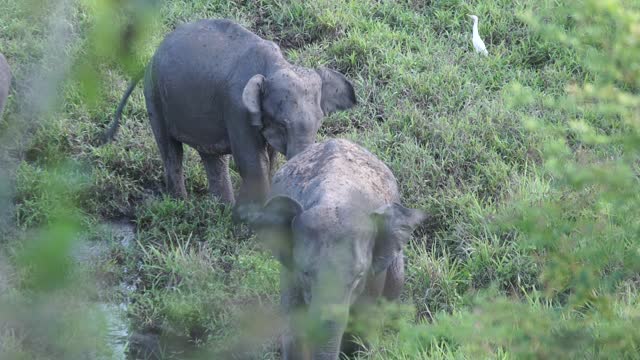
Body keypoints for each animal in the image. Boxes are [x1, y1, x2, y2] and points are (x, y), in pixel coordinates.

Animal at [102, 20, 358, 222]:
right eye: (282, 124)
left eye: (319, 123)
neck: (275, 64)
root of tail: (150, 57)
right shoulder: (237, 108)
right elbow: (253, 162)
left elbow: (270, 159)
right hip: (154, 94)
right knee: (171, 150)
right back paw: (181, 205)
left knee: (211, 157)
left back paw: (221, 209)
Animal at [250, 139, 424, 360]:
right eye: (305, 273)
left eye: (358, 277)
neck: (334, 196)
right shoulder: (290, 273)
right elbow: (295, 328)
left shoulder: (373, 278)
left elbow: (361, 328)